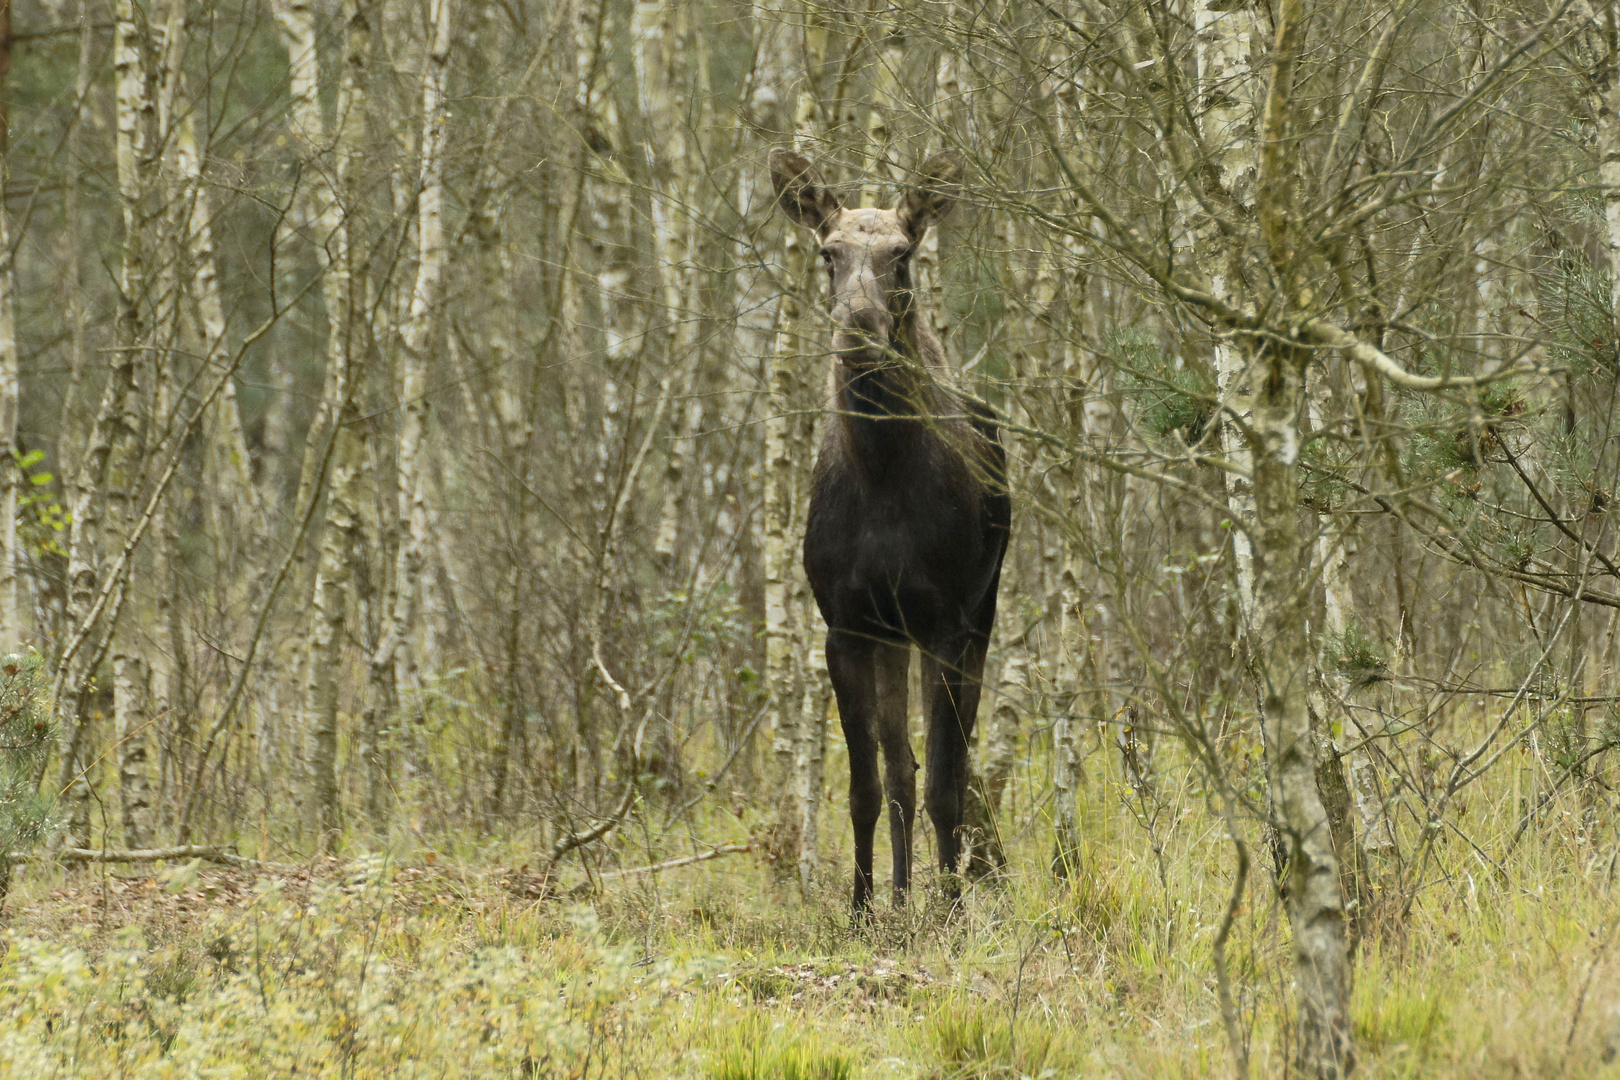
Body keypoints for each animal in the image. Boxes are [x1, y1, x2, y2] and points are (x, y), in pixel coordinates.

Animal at [764, 148, 1004, 919]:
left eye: (901, 254)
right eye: (827, 251)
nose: (860, 324)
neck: (882, 474)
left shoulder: (947, 623)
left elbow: (946, 787)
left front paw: (951, 909)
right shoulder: (846, 625)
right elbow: (867, 786)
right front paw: (862, 908)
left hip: (979, 616)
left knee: (943, 768)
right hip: (893, 635)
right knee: (900, 765)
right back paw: (899, 896)